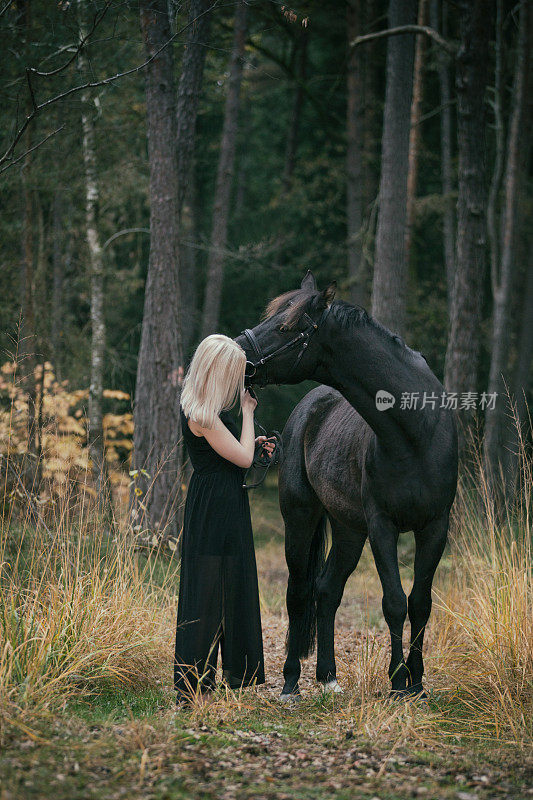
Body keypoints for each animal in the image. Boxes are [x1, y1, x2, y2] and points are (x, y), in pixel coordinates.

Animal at [237, 272, 458, 696]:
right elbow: (394, 602)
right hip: (301, 518)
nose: (236, 354)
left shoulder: (435, 526)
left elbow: (420, 602)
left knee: (326, 590)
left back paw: (328, 676)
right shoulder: (382, 526)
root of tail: (308, 408)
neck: (415, 433)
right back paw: (292, 681)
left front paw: (416, 683)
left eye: (285, 327)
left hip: (349, 530)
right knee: (298, 592)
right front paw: (397, 681)